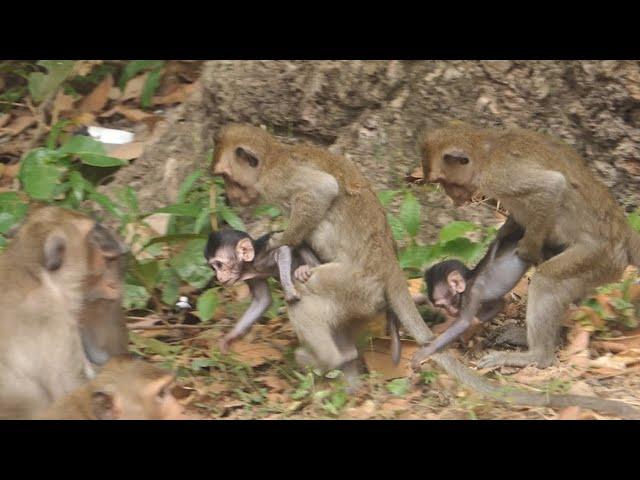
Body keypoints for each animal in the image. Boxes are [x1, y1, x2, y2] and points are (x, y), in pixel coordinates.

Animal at [205, 229, 402, 364]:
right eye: (214, 267)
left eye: (219, 265)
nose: (219, 277)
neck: (251, 264)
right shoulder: (251, 275)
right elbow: (263, 299)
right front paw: (229, 338)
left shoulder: (263, 253)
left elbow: (284, 249)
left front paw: (289, 290)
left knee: (302, 250)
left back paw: (304, 269)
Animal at [420, 123, 640, 372]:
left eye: (447, 182)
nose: (452, 197)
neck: (485, 151)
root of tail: (624, 232)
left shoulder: (498, 176)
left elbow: (551, 187)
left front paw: (527, 249)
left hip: (600, 257)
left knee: (547, 280)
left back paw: (536, 355)